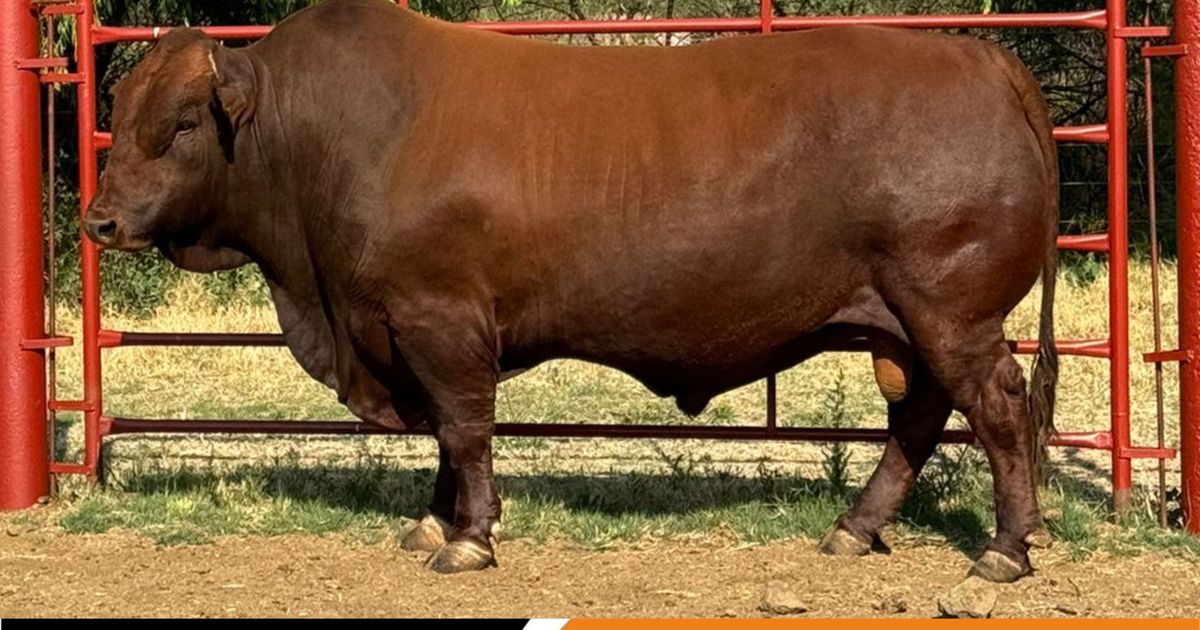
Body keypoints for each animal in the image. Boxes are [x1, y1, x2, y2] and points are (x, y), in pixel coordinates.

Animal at [84, 0, 1059, 581]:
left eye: (181, 124)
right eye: (121, 114)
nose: (99, 220)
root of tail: (980, 58)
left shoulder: (439, 319)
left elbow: (464, 428)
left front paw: (470, 538)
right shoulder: (413, 330)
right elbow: (447, 436)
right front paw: (435, 521)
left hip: (952, 309)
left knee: (998, 409)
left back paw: (1005, 550)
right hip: (911, 322)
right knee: (922, 417)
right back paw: (857, 526)